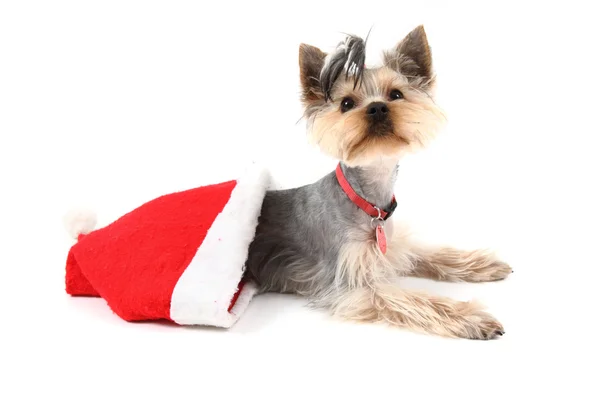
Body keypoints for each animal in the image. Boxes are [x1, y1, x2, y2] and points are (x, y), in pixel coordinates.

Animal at [244, 25, 510, 340]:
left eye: (396, 94)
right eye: (346, 103)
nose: (378, 108)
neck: (367, 200)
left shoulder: (391, 246)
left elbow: (427, 253)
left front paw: (481, 264)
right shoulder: (350, 283)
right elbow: (412, 299)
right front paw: (469, 317)